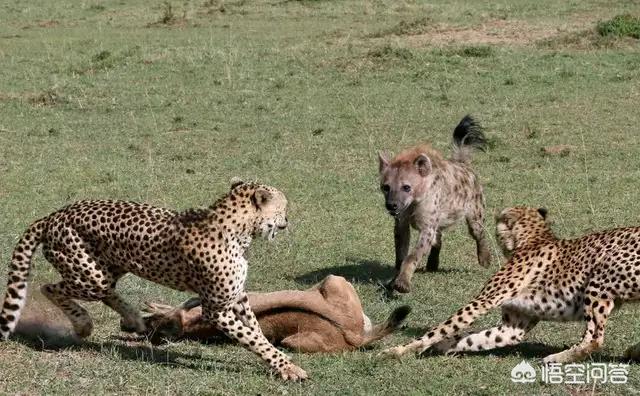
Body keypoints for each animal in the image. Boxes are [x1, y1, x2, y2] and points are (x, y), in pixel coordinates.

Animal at [0, 179, 308, 380]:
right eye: (283, 207)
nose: (287, 220)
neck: (237, 229)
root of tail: (55, 214)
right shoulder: (216, 309)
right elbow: (253, 338)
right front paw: (288, 367)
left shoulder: (237, 297)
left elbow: (256, 330)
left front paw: (278, 362)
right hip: (90, 275)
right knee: (50, 287)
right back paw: (84, 324)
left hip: (108, 267)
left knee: (106, 291)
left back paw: (134, 318)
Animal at [378, 116, 492, 292]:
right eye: (386, 187)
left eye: (406, 187)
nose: (392, 205)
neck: (414, 203)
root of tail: (464, 164)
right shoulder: (402, 222)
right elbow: (401, 253)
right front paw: (394, 280)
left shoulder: (427, 225)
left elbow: (413, 255)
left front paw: (402, 283)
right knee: (438, 238)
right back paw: (432, 264)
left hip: (475, 209)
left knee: (478, 231)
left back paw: (485, 258)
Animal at [382, 206, 640, 364]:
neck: (533, 238)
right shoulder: (513, 326)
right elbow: (477, 338)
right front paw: (444, 346)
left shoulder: (482, 301)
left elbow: (441, 328)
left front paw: (398, 350)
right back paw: (634, 351)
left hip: (601, 273)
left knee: (595, 338)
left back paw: (556, 358)